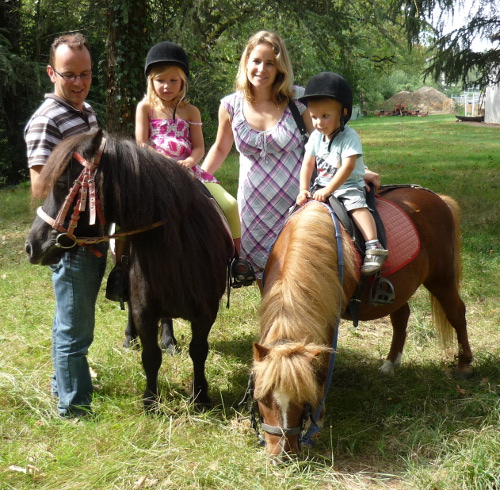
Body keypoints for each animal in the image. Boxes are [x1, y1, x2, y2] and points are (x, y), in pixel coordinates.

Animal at [27, 128, 236, 408]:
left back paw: (169, 341)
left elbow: (198, 351)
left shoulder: (206, 312)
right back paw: (131, 338)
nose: (32, 245)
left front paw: (201, 396)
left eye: (61, 185)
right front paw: (151, 401)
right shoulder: (143, 310)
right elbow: (151, 356)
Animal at [254, 194, 472, 460]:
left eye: (303, 397)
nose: (282, 454)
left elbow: (323, 365)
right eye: (261, 397)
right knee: (402, 318)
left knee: (457, 313)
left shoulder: (330, 322)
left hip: (442, 279)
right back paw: (390, 363)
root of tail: (438, 198)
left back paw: (464, 364)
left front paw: (318, 419)